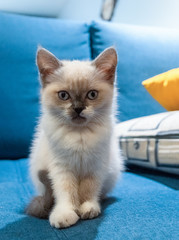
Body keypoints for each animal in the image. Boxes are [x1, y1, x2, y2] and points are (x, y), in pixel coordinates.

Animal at [26, 46, 123, 228]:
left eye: (92, 94)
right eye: (63, 95)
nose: (78, 108)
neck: (80, 135)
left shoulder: (95, 166)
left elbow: (88, 190)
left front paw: (88, 209)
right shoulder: (61, 168)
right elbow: (66, 192)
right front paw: (65, 214)